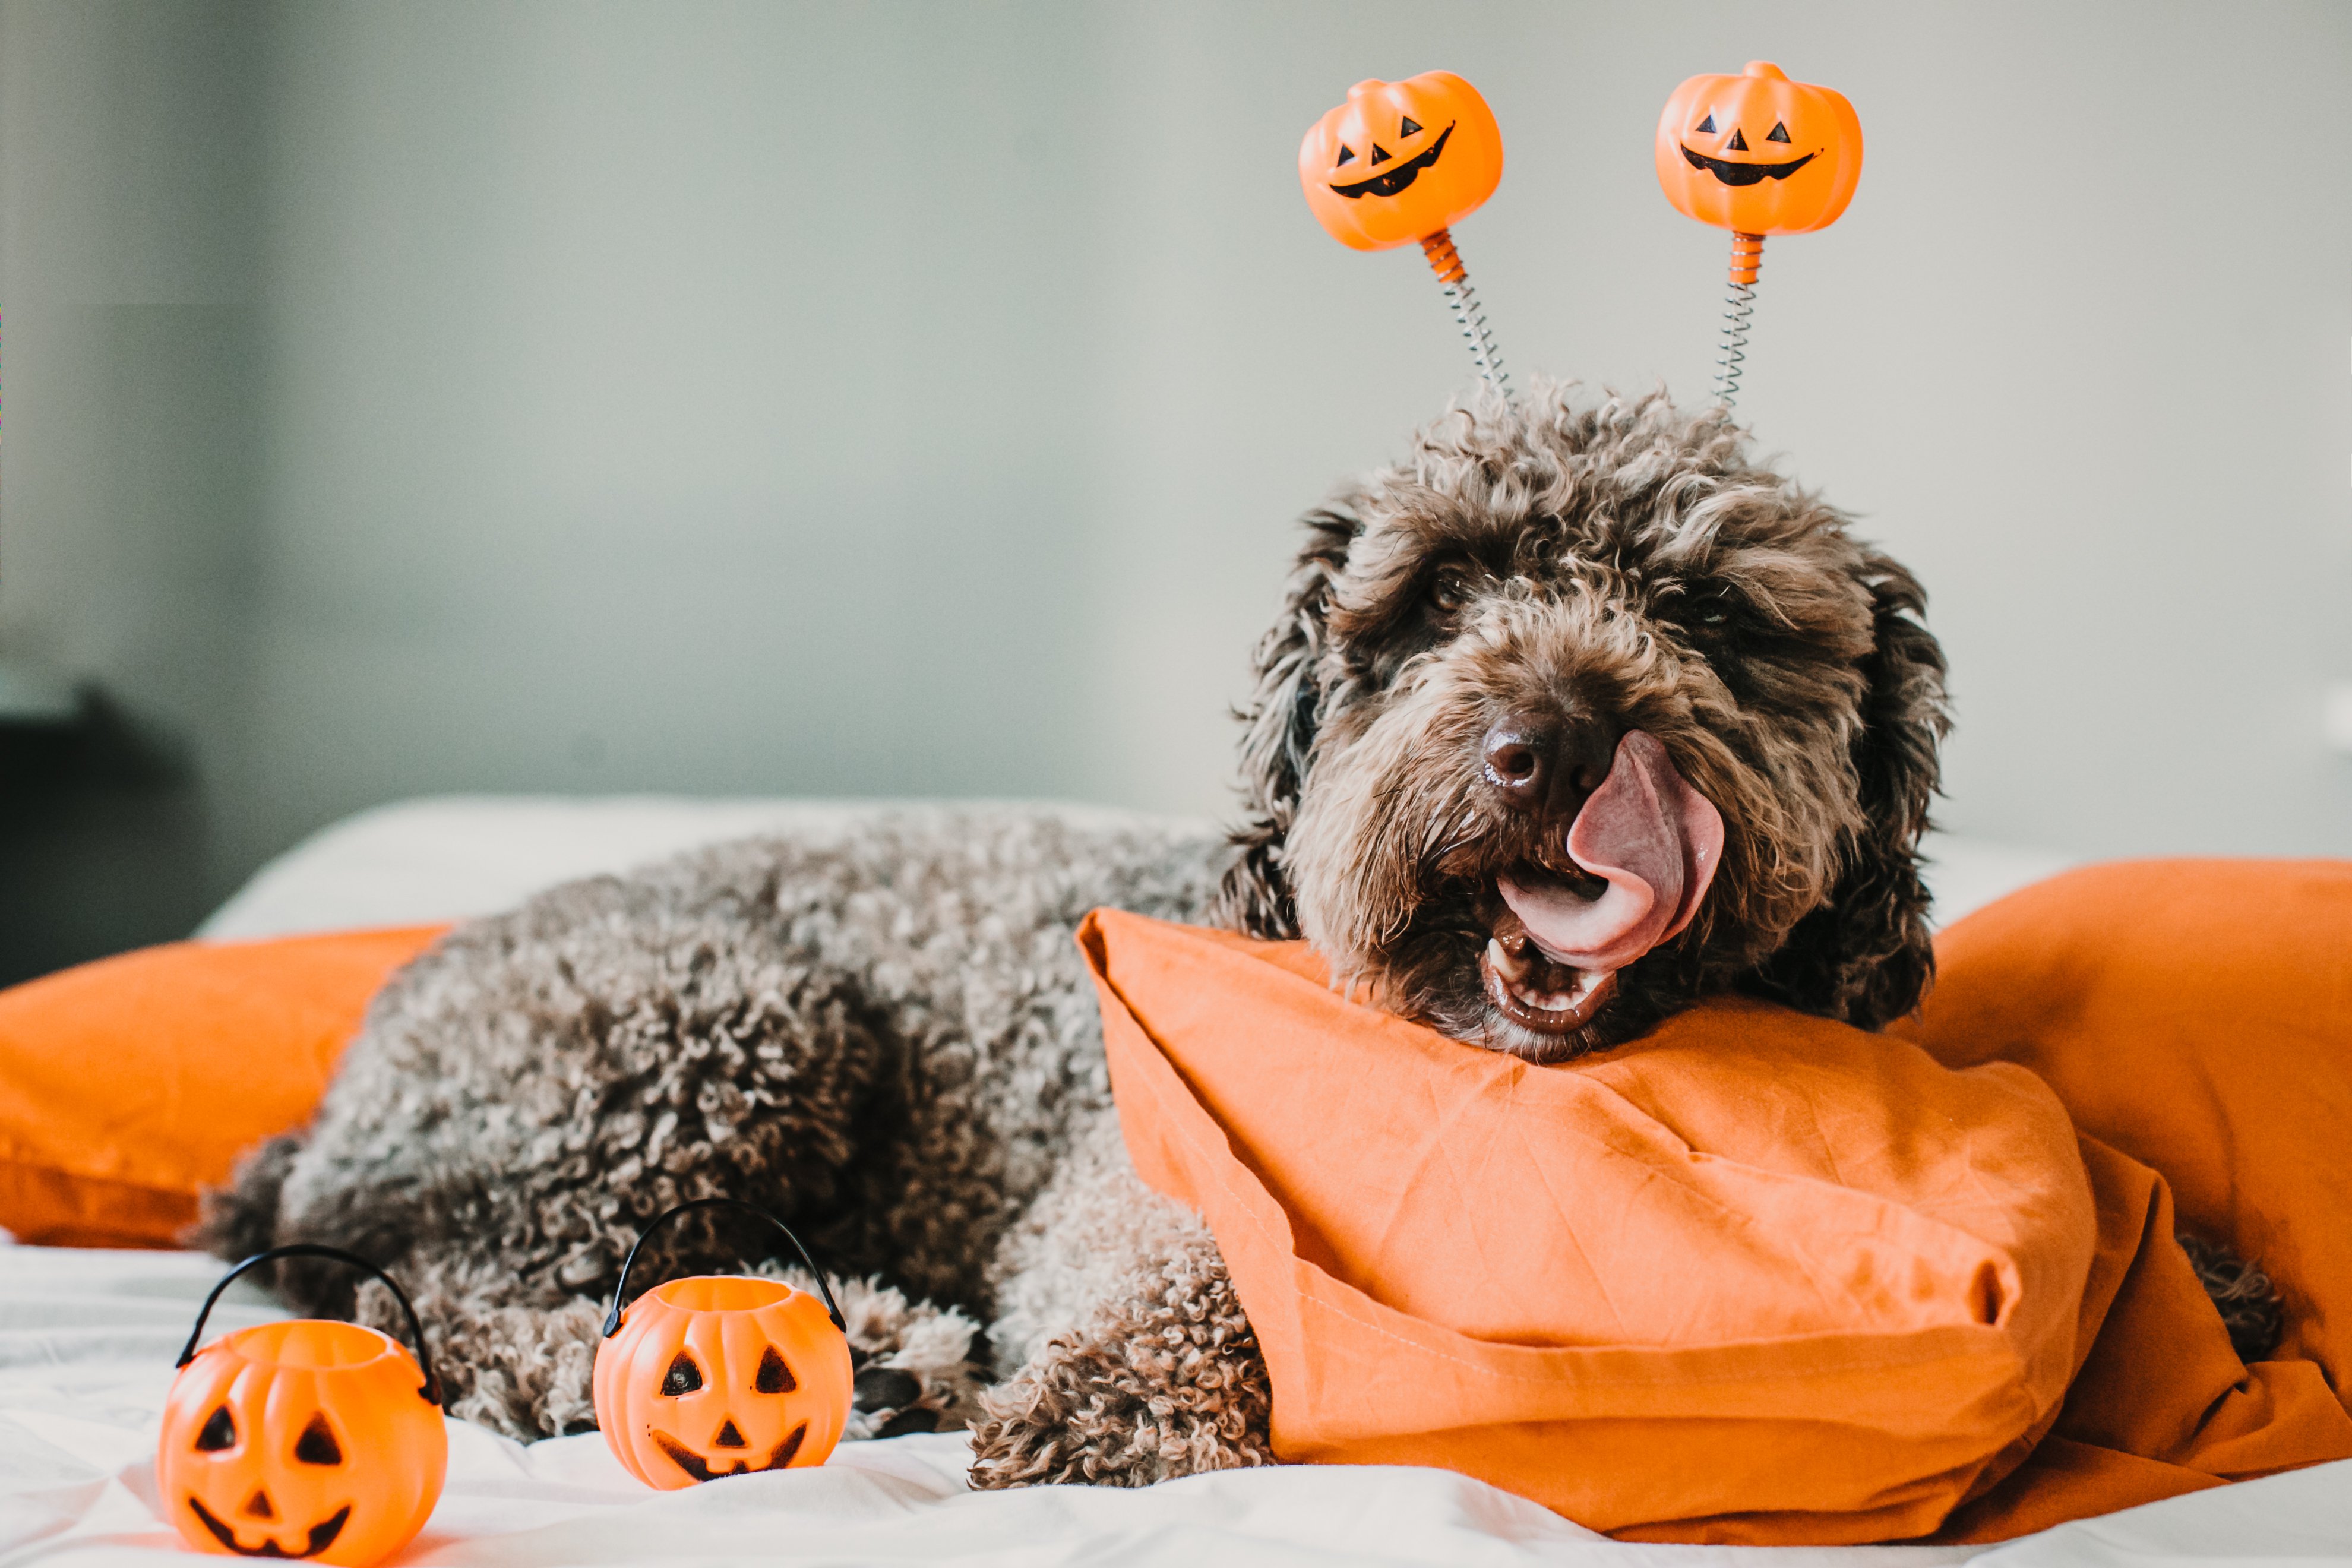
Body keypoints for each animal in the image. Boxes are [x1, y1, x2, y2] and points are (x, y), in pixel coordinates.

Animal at [207, 385, 2277, 1495]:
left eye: (1709, 614)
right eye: (1435, 597)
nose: (1552, 741)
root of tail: (325, 1109)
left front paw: (2205, 1299)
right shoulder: (1118, 1178)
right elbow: (1181, 1273)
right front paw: (1123, 1401)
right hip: (704, 1029)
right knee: (436, 1305)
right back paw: (826, 1346)